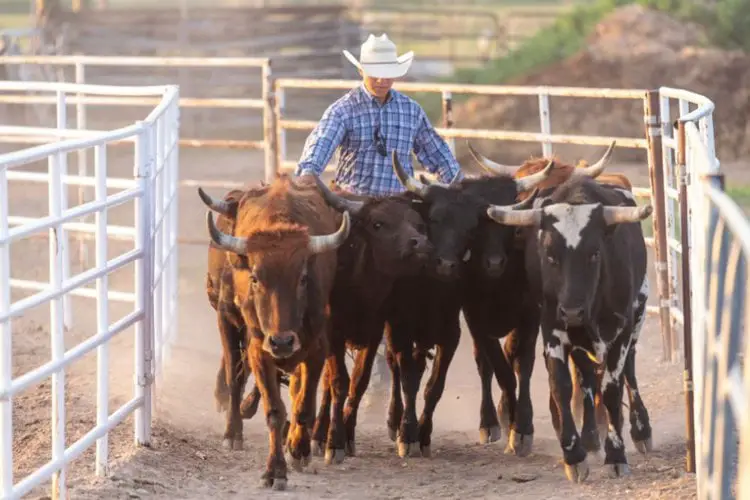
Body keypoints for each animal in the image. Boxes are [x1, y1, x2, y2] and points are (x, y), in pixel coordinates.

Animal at [200, 175, 352, 488]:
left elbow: (303, 404)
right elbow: (274, 410)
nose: (282, 341)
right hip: (229, 324)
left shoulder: (316, 348)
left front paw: (299, 450)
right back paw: (233, 432)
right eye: (255, 278)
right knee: (234, 377)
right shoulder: (259, 349)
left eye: (303, 278)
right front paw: (275, 471)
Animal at [488, 176, 652, 484]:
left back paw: (640, 429)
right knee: (585, 376)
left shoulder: (621, 332)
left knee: (630, 371)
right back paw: (589, 437)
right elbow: (562, 386)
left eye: (595, 253)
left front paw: (616, 455)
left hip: (637, 316)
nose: (573, 312)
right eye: (549, 255)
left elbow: (612, 389)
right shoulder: (553, 330)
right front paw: (574, 455)